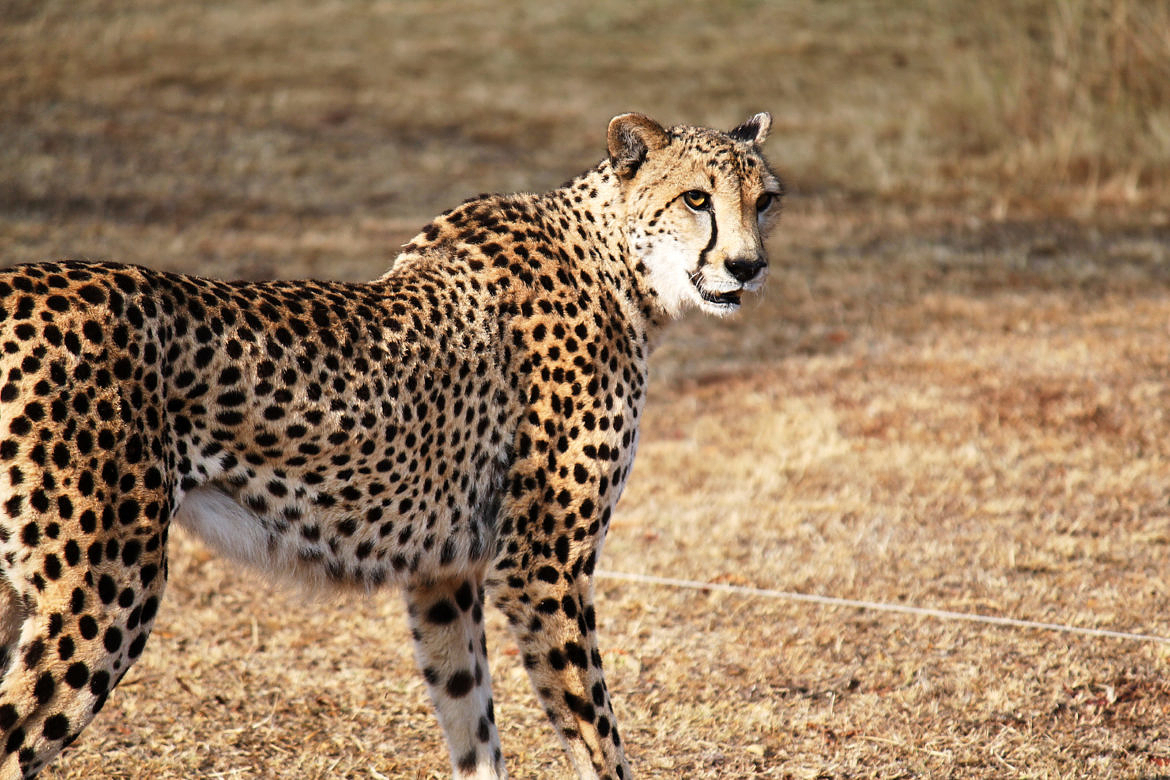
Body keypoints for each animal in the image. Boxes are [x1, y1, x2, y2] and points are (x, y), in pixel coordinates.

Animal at [0, 111, 782, 779]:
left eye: (766, 200)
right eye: (696, 198)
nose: (748, 268)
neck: (619, 263)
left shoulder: (446, 573)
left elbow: (472, 723)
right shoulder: (541, 565)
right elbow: (599, 739)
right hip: (106, 589)